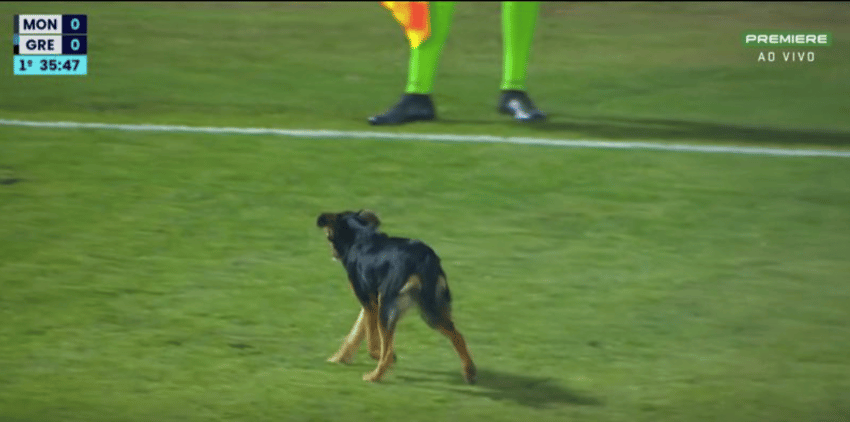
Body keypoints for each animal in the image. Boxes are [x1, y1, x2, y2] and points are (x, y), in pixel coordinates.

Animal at [316, 209, 476, 384]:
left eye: (328, 235)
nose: (332, 253)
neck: (361, 236)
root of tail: (424, 257)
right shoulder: (372, 303)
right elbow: (356, 332)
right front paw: (339, 358)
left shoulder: (370, 302)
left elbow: (371, 340)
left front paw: (382, 356)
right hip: (431, 310)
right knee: (458, 336)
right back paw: (469, 372)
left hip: (389, 309)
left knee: (386, 354)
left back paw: (374, 376)